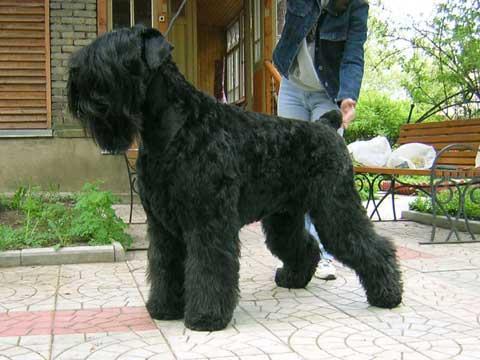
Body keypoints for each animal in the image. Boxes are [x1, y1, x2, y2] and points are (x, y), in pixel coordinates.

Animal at [67, 26, 404, 332]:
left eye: (116, 50)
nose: (75, 75)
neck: (176, 127)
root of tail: (325, 125)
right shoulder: (163, 226)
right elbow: (164, 267)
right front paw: (163, 307)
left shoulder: (207, 222)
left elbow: (209, 268)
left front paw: (206, 317)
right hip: (284, 216)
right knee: (304, 244)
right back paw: (292, 279)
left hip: (335, 207)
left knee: (372, 246)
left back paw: (388, 295)